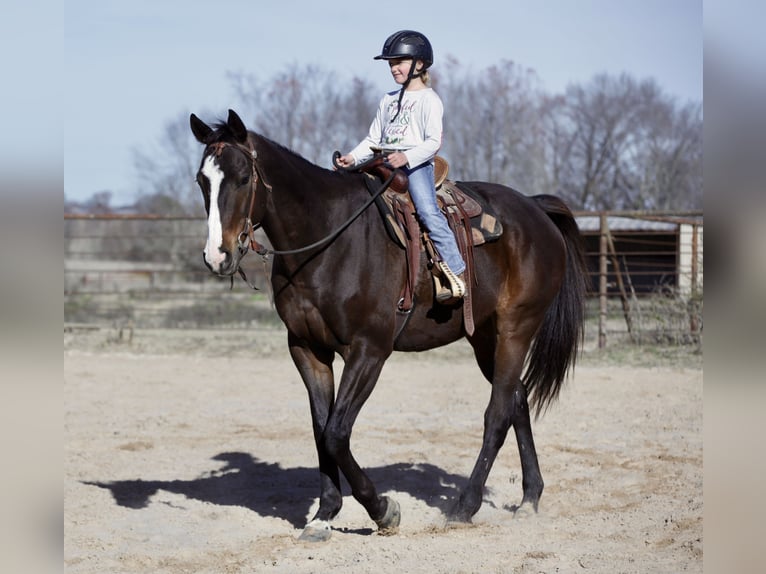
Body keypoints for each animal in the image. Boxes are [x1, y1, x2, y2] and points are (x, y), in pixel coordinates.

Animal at [189, 109, 588, 542]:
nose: (217, 256)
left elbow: (336, 433)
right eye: (202, 181)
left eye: (243, 178)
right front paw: (324, 514)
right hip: (486, 336)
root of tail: (535, 209)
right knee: (517, 401)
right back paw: (530, 497)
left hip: (517, 328)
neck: (327, 239)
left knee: (498, 414)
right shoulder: (307, 349)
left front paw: (383, 510)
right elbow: (320, 430)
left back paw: (464, 507)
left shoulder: (369, 351)